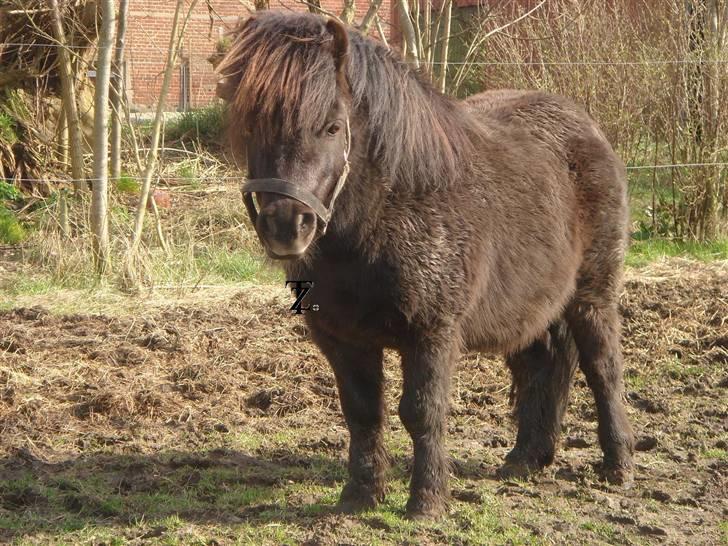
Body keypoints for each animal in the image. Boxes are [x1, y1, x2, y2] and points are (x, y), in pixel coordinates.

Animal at [215, 10, 632, 516]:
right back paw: (527, 457)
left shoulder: (433, 331)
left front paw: (427, 500)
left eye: (332, 127)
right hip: (528, 305)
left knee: (602, 366)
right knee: (542, 364)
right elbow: (362, 412)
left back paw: (618, 465)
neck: (390, 209)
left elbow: (421, 411)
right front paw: (360, 495)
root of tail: (585, 126)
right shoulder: (340, 336)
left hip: (593, 293)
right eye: (250, 126)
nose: (286, 226)